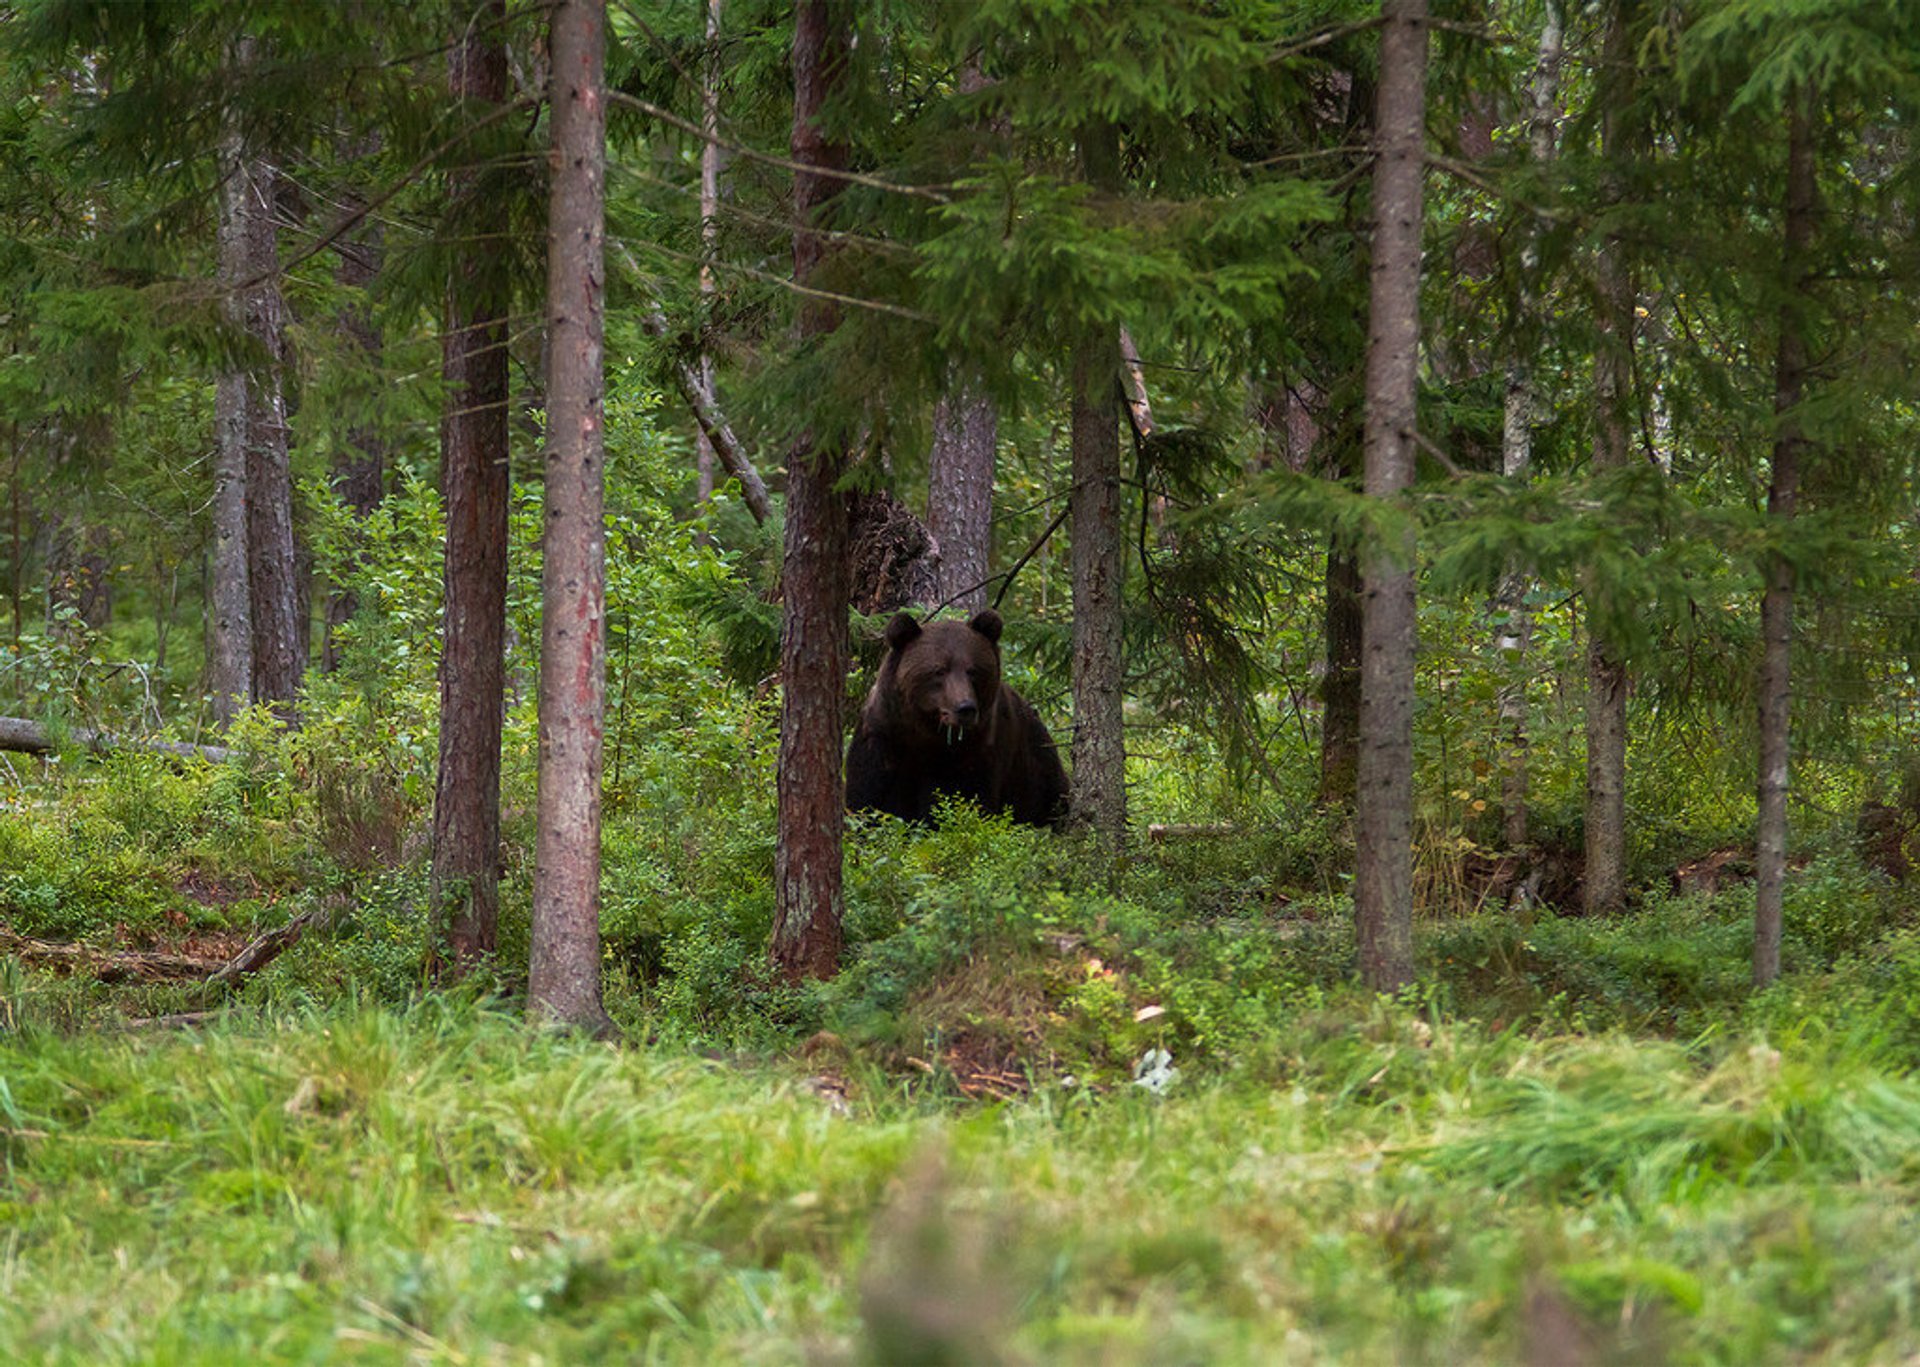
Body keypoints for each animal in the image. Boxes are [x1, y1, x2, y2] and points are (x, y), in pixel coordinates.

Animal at [848, 610, 1075, 833]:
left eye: (973, 670)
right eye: (939, 670)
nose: (965, 708)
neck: (926, 733)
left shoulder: (974, 748)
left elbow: (965, 800)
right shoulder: (884, 735)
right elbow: (867, 798)